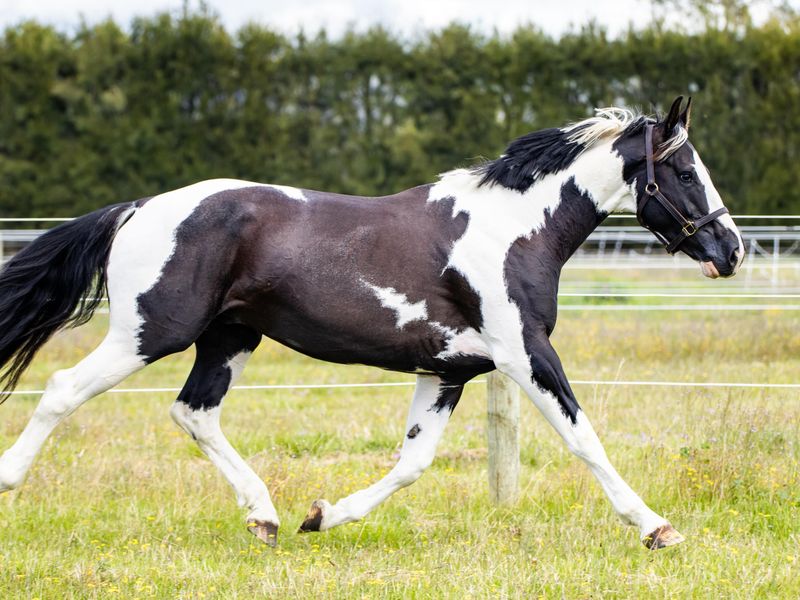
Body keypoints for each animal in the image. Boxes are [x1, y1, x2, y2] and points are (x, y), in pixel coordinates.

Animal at [0, 96, 743, 549]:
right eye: (683, 170)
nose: (730, 250)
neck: (513, 232)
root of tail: (137, 208)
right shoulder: (524, 355)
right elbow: (584, 439)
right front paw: (656, 528)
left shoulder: (449, 371)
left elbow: (412, 462)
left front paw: (322, 516)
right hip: (151, 332)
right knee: (64, 389)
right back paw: (9, 481)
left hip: (229, 336)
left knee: (194, 412)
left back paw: (267, 518)